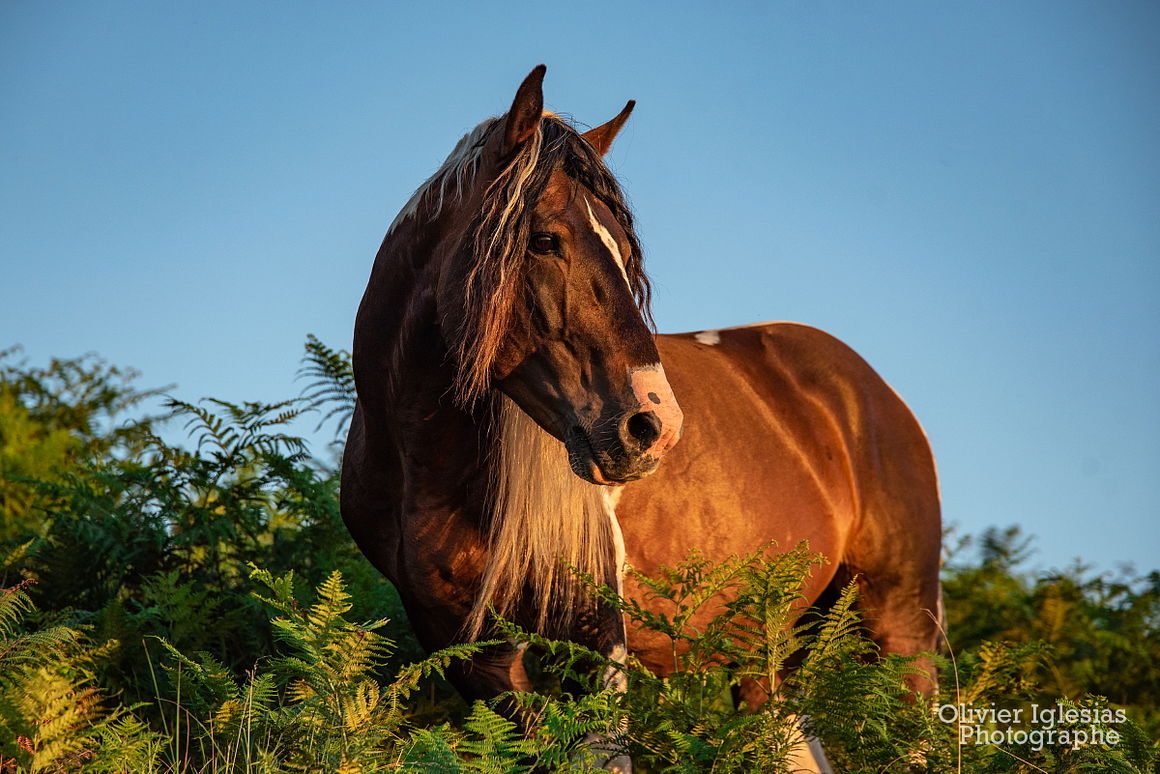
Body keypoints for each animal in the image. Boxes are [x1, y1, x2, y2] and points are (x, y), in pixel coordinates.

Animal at [341, 63, 941, 761]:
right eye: (544, 240)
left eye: (629, 257)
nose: (655, 428)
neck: (422, 466)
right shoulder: (473, 655)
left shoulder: (593, 639)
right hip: (768, 658)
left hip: (899, 629)